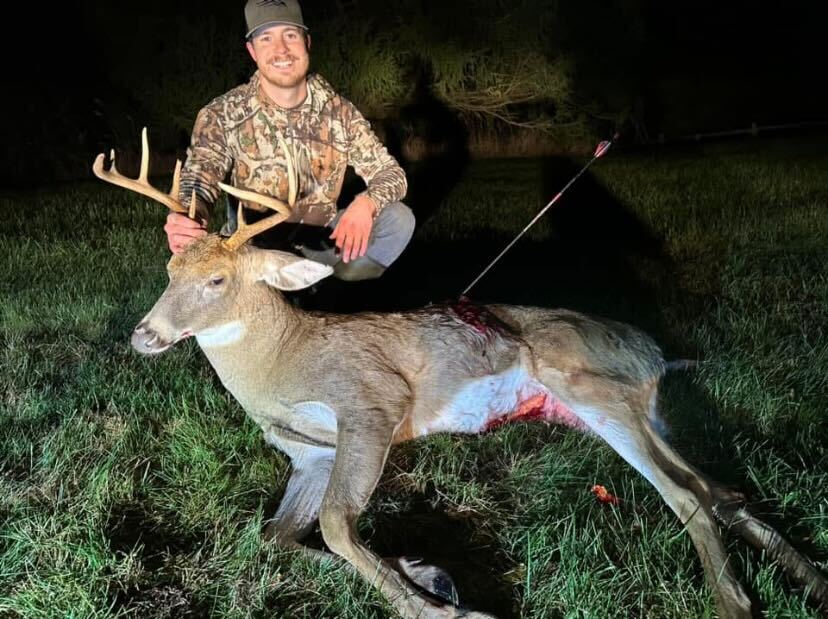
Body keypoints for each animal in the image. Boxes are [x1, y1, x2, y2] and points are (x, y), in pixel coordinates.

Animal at [93, 129, 828, 619]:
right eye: (170, 270)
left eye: (217, 280)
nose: (143, 335)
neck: (282, 363)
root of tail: (653, 350)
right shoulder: (308, 454)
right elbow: (275, 535)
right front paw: (427, 573)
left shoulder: (372, 402)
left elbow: (335, 524)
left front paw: (443, 603)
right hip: (629, 411)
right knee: (721, 488)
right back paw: (814, 578)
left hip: (584, 384)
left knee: (686, 495)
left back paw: (735, 602)